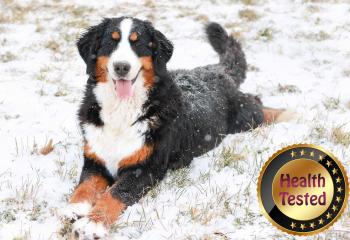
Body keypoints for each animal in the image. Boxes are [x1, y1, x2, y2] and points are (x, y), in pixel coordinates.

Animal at [64, 16, 288, 238]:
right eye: (111, 42)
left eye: (138, 44)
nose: (121, 67)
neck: (121, 109)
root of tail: (216, 70)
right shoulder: (95, 159)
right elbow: (84, 186)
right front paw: (74, 208)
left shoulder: (145, 168)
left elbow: (116, 194)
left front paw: (93, 223)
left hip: (245, 117)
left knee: (258, 105)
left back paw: (288, 113)